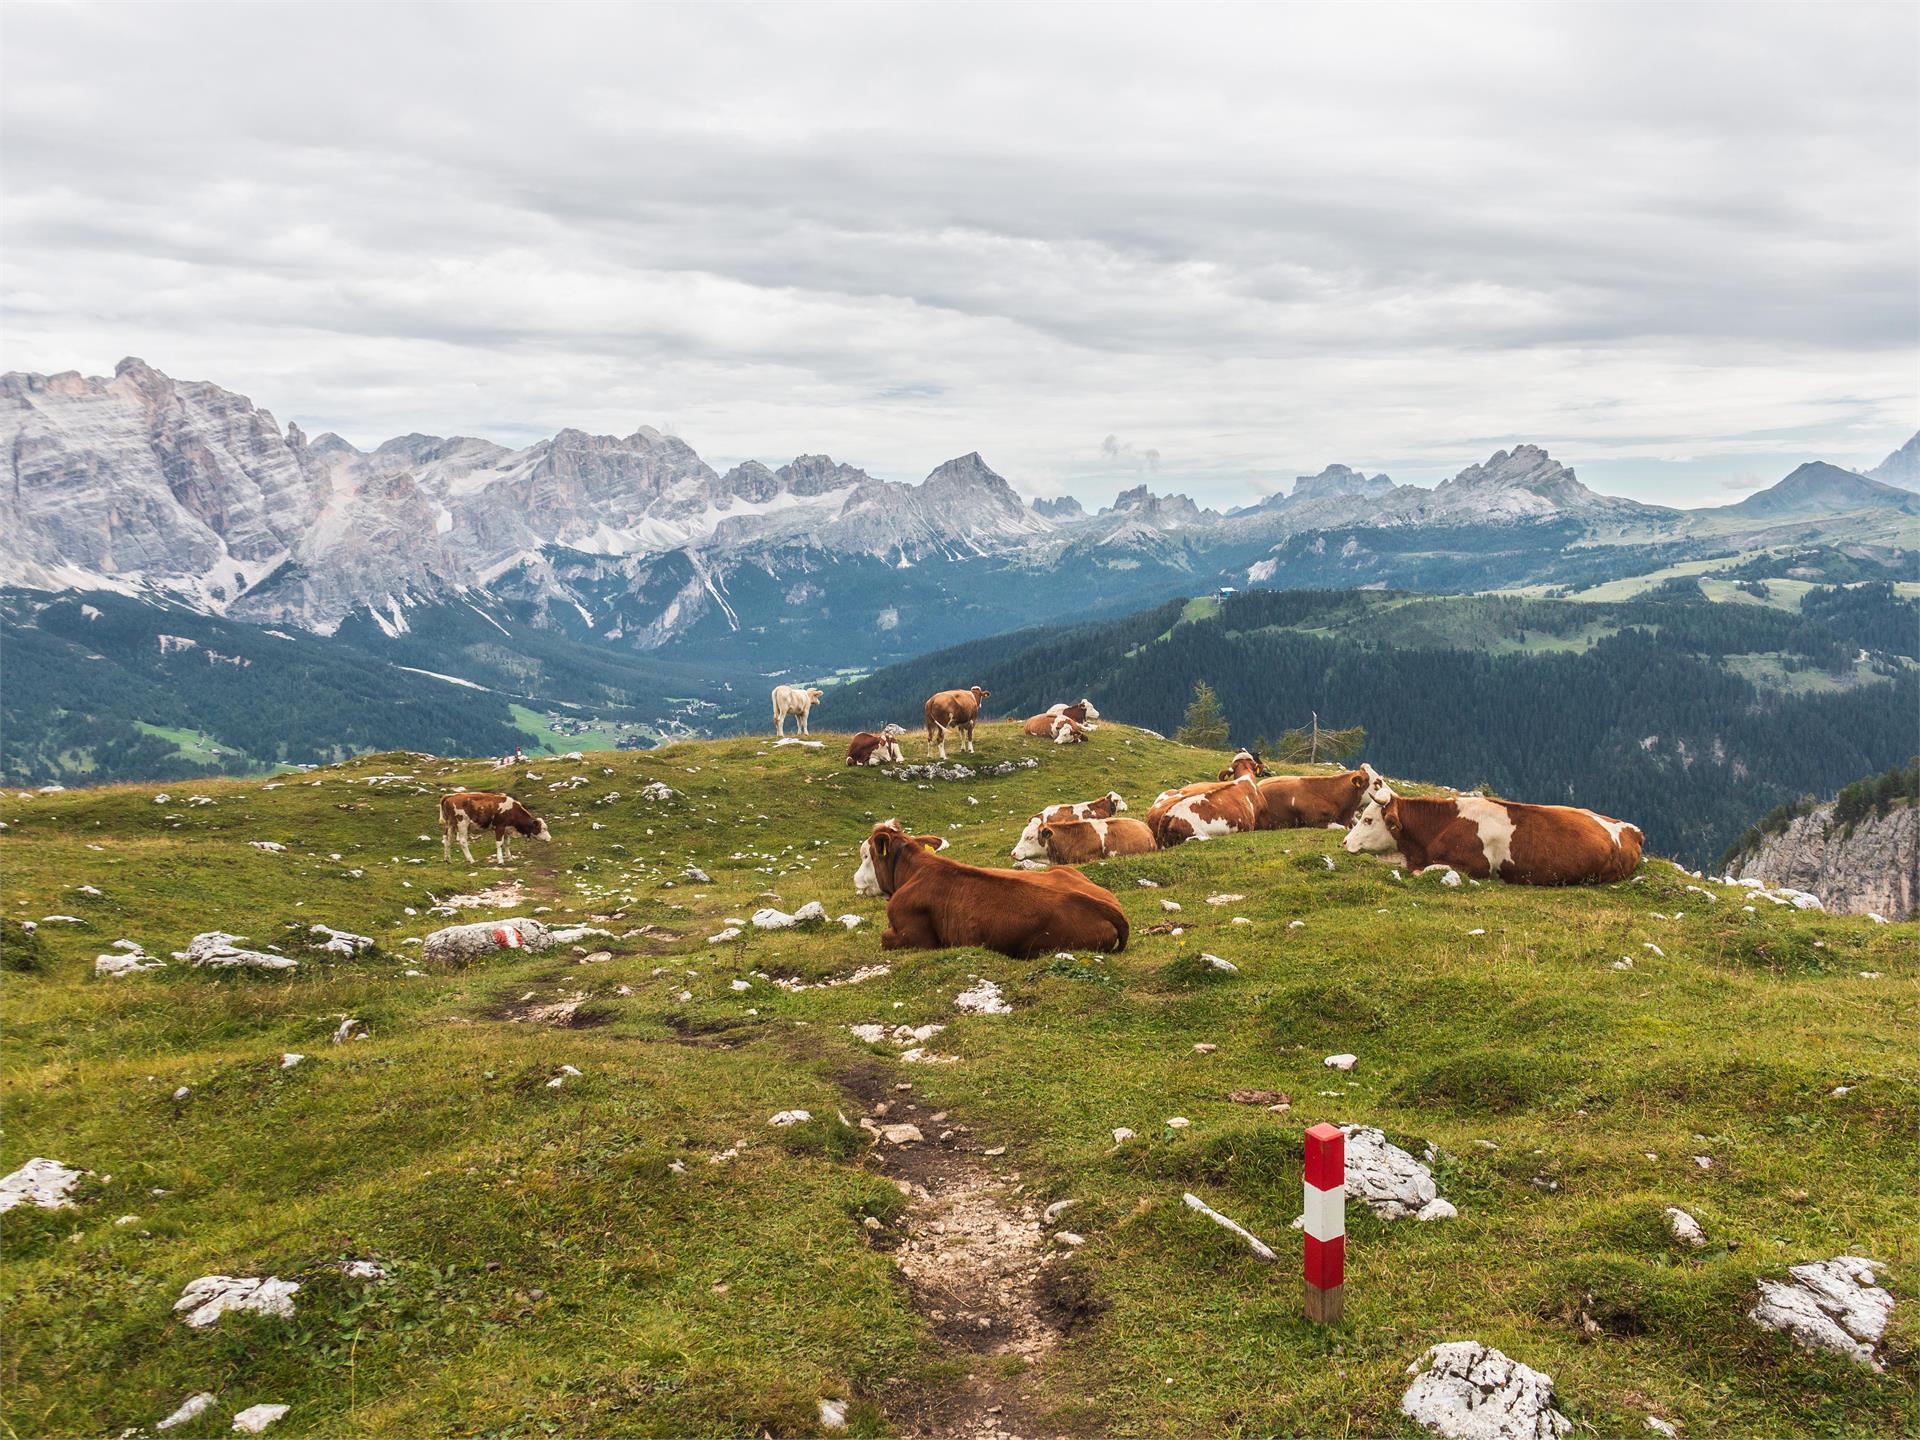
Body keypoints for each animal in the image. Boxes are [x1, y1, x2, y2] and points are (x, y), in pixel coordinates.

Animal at [860, 821, 1121, 960]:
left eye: (865, 855)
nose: (856, 881)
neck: (912, 871)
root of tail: (1108, 907)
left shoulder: (914, 937)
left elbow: (884, 938)